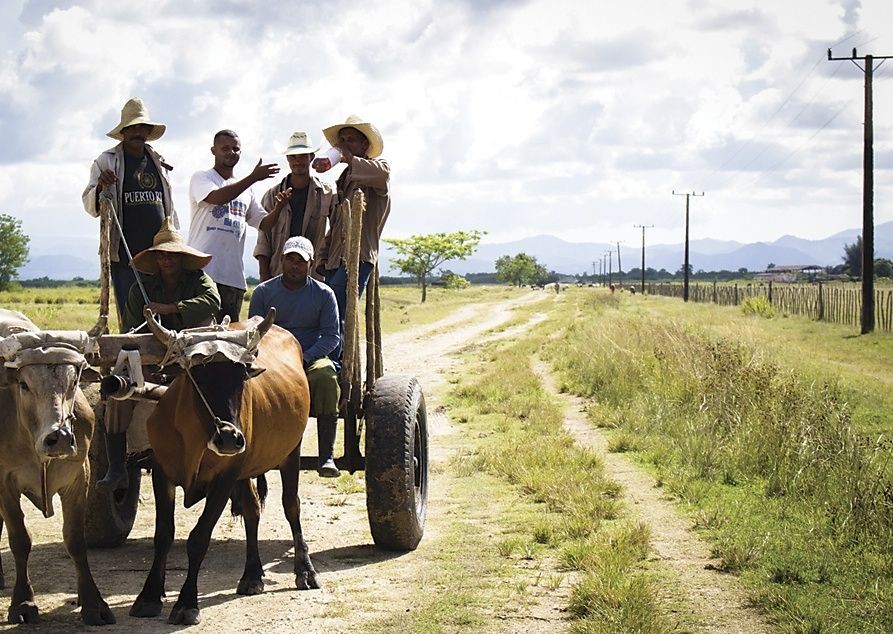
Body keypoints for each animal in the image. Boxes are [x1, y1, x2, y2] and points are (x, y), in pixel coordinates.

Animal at [0, 306, 115, 624]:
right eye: (24, 384)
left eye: (74, 381)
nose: (60, 438)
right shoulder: (4, 482)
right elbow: (19, 539)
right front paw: (23, 603)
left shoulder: (78, 476)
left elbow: (75, 540)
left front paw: (92, 603)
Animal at [129, 308, 314, 624]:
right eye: (198, 378)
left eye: (241, 377)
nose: (230, 438)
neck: (193, 438)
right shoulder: (162, 472)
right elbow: (163, 535)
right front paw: (149, 596)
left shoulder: (224, 479)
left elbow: (199, 538)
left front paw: (186, 603)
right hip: (246, 469)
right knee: (252, 510)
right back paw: (252, 575)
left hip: (291, 451)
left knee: (292, 506)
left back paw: (304, 570)